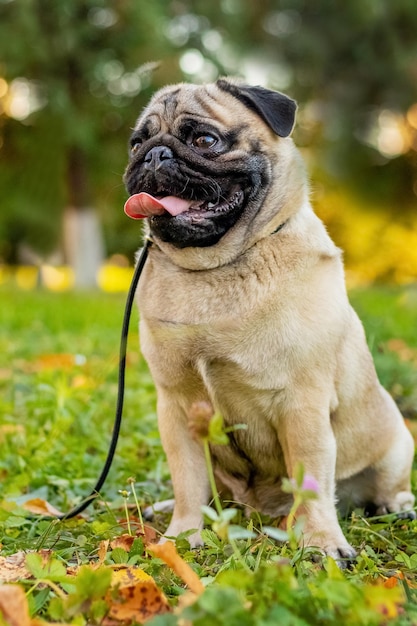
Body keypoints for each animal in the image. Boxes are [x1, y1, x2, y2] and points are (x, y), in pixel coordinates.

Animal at [122, 78, 414, 560]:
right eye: (136, 144)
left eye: (204, 141)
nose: (154, 154)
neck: (215, 269)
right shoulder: (177, 409)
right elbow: (187, 481)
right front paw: (182, 536)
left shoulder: (302, 405)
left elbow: (311, 479)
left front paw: (322, 543)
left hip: (395, 444)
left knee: (382, 486)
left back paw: (394, 506)